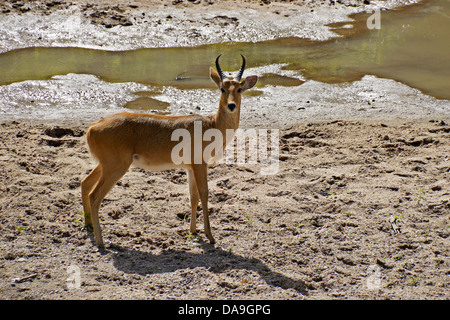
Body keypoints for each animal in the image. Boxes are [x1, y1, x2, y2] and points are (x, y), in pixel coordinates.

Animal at [81, 55, 256, 248]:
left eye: (239, 88)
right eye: (222, 88)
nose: (231, 106)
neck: (212, 125)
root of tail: (92, 127)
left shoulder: (190, 168)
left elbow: (193, 197)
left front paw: (193, 231)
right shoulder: (200, 165)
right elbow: (204, 194)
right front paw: (210, 236)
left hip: (105, 165)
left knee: (85, 184)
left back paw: (89, 227)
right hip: (115, 168)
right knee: (95, 196)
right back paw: (101, 242)